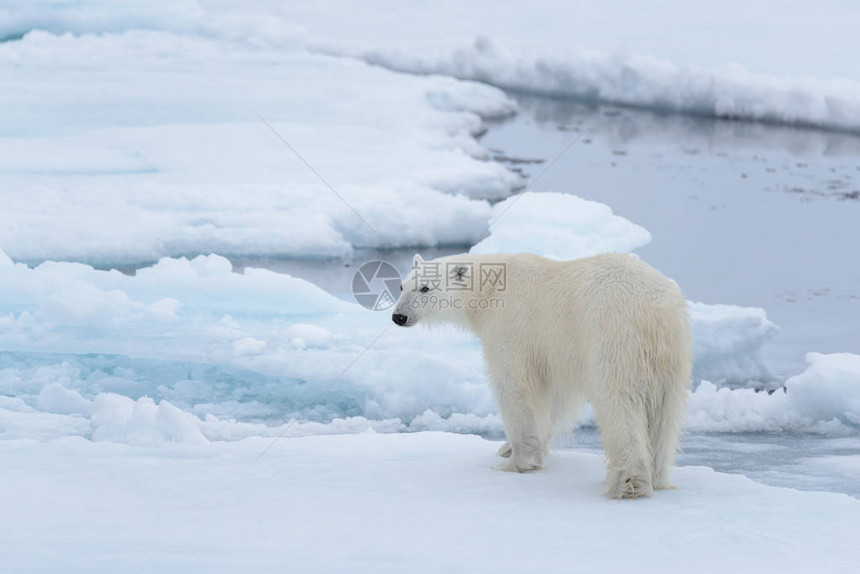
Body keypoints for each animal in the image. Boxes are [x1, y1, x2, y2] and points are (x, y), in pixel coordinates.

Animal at [390, 252, 692, 500]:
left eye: (425, 288)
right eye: (402, 286)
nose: (398, 316)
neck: (488, 291)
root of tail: (654, 312)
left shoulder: (512, 329)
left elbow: (514, 387)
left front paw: (515, 461)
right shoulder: (553, 353)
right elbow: (553, 397)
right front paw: (507, 448)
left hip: (613, 337)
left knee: (619, 402)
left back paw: (629, 482)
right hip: (673, 353)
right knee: (665, 413)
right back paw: (659, 476)